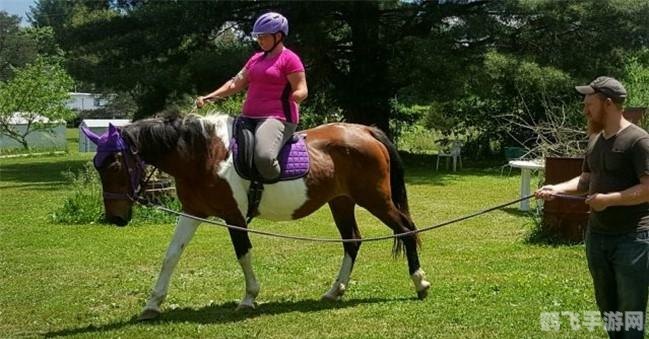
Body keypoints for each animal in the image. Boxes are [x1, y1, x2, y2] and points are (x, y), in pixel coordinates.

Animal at [82, 114, 430, 322]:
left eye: (114, 164)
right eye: (98, 167)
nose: (115, 218)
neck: (204, 155)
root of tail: (365, 130)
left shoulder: (233, 216)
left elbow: (243, 254)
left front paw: (249, 298)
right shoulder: (192, 212)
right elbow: (171, 256)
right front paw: (152, 304)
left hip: (375, 199)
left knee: (406, 230)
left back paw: (420, 283)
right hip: (341, 202)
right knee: (352, 241)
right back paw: (335, 290)